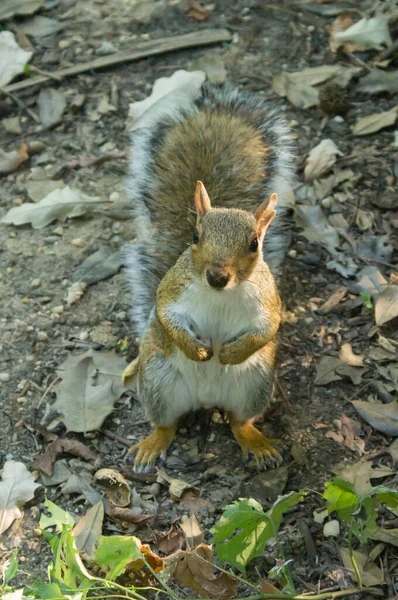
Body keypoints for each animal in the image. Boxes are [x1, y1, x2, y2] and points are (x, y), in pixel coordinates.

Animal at [123, 82, 294, 472]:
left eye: (254, 244)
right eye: (196, 237)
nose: (217, 275)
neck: (220, 295)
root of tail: (205, 398)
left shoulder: (268, 302)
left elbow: (268, 328)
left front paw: (230, 353)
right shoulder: (172, 290)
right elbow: (166, 315)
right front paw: (197, 349)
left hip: (255, 386)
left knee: (240, 421)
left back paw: (257, 443)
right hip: (158, 382)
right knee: (166, 423)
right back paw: (152, 445)